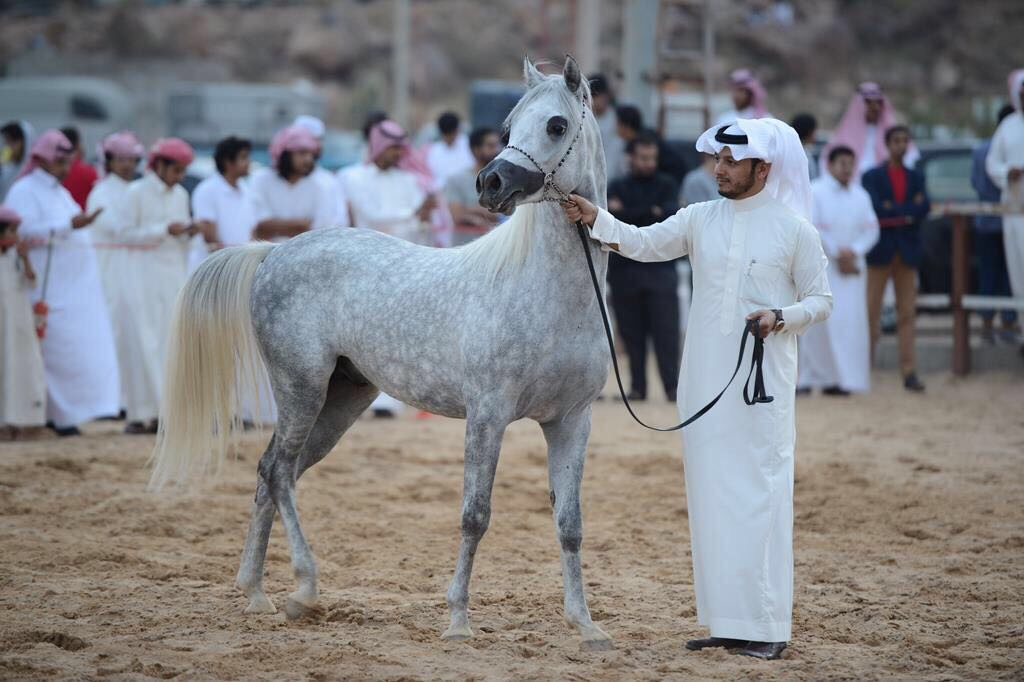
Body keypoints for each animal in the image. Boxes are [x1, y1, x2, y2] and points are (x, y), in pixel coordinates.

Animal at [149, 55, 610, 647]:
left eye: (556, 124)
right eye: (508, 126)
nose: (491, 183)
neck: (544, 290)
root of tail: (274, 252)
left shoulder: (571, 421)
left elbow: (569, 523)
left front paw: (585, 625)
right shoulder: (487, 415)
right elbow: (475, 515)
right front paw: (458, 621)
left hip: (341, 400)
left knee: (273, 473)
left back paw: (256, 593)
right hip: (301, 388)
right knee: (277, 472)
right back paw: (303, 589)